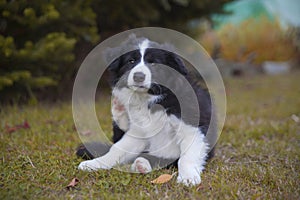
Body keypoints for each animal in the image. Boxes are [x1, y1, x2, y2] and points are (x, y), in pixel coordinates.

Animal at [77, 36, 213, 185]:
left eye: (153, 63)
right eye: (131, 61)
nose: (138, 76)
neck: (151, 99)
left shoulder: (191, 128)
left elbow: (186, 157)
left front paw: (188, 177)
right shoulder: (138, 132)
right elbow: (116, 150)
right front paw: (95, 163)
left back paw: (141, 164)